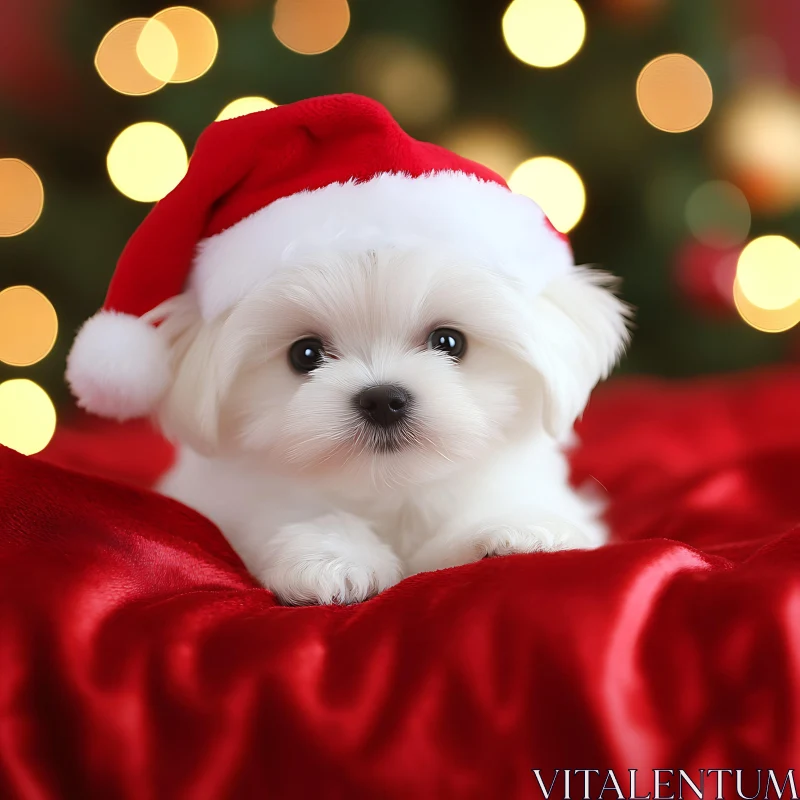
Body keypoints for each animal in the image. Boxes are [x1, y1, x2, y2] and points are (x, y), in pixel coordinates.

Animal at [152, 245, 632, 608]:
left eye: (449, 341)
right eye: (305, 354)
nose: (382, 399)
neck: (393, 488)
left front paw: (519, 530)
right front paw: (331, 560)